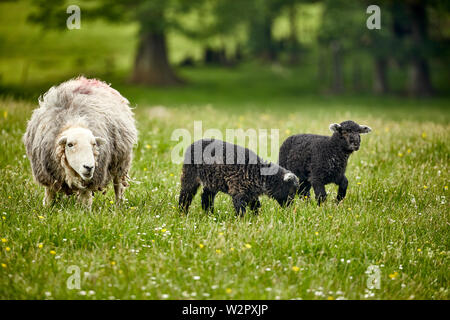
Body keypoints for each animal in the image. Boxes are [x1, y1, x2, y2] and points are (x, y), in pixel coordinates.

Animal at [22, 77, 137, 208]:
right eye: (70, 144)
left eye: (94, 144)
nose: (89, 167)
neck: (74, 121)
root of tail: (90, 80)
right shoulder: (48, 175)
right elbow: (50, 195)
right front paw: (47, 208)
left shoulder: (91, 180)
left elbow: (85, 198)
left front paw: (84, 210)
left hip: (121, 162)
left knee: (118, 186)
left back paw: (119, 205)